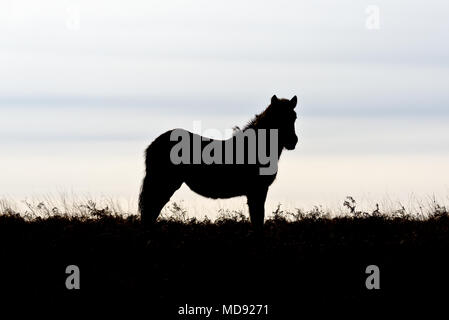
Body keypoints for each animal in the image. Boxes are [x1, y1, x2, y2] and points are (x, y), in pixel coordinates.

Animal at [137, 94, 298, 231]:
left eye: (294, 117)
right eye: (277, 117)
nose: (293, 141)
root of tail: (154, 144)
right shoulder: (257, 190)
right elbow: (257, 220)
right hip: (165, 184)